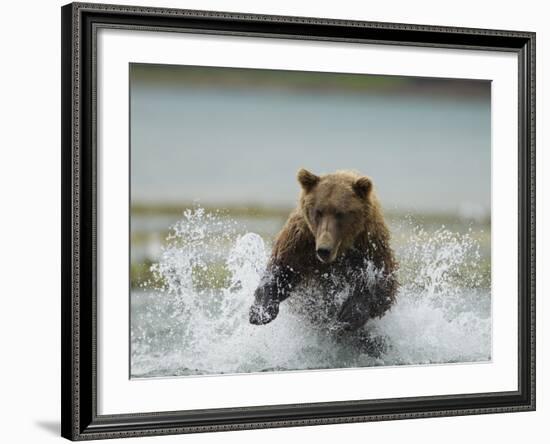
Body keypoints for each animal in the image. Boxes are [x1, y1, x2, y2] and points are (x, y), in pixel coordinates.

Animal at [251, 168, 402, 332]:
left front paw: (349, 315)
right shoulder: (302, 242)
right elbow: (282, 270)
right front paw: (259, 312)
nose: (324, 249)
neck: (341, 250)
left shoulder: (369, 246)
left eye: (340, 213)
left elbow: (383, 288)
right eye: (318, 211)